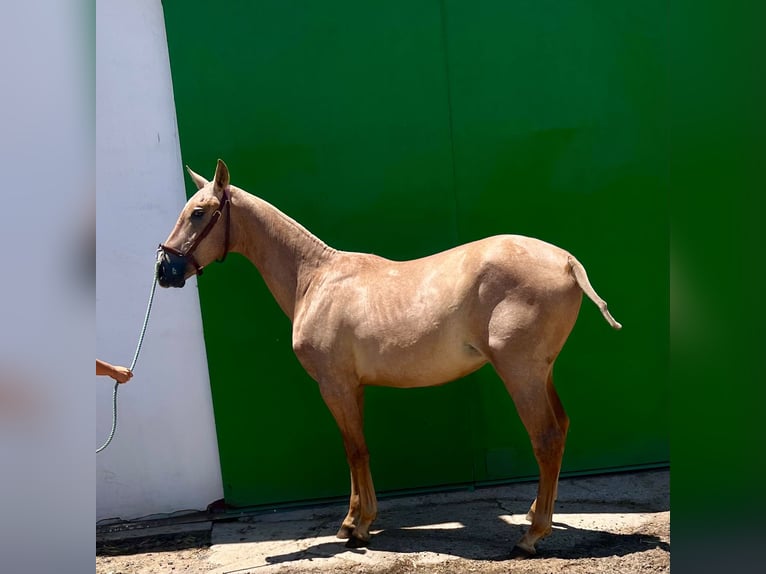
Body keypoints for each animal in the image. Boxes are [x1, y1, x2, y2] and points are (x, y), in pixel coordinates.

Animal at [158, 160, 624, 556]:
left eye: (199, 212)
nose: (165, 270)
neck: (314, 278)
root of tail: (566, 261)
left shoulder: (334, 385)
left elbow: (354, 450)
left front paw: (357, 526)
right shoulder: (352, 387)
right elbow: (358, 449)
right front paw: (356, 521)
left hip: (520, 373)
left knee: (546, 437)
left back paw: (531, 535)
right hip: (541, 372)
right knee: (561, 427)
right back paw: (534, 515)